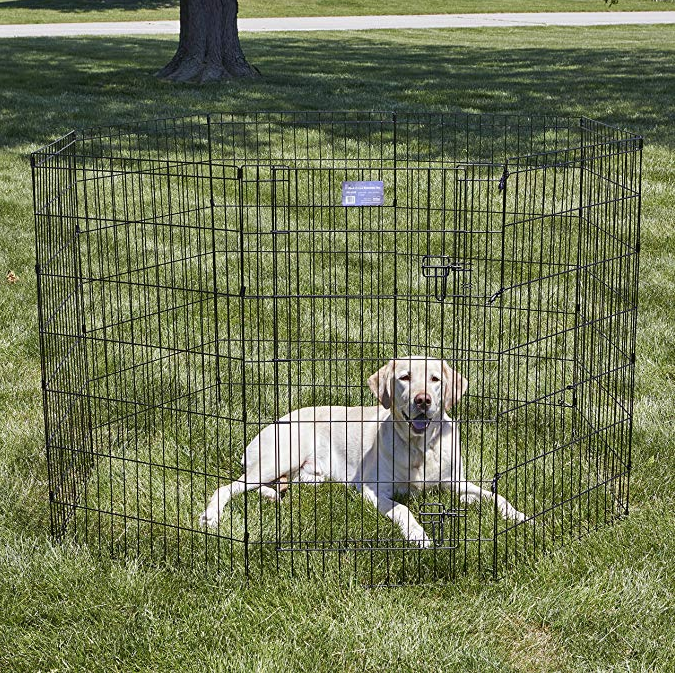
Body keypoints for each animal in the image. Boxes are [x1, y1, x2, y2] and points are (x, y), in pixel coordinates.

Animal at [201, 354, 528, 544]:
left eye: (435, 379)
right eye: (405, 377)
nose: (423, 400)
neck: (421, 448)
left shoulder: (455, 482)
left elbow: (497, 495)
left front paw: (519, 517)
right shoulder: (372, 490)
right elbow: (403, 509)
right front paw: (418, 535)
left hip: (311, 476)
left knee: (264, 485)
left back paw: (274, 495)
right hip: (282, 455)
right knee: (228, 487)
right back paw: (211, 516)